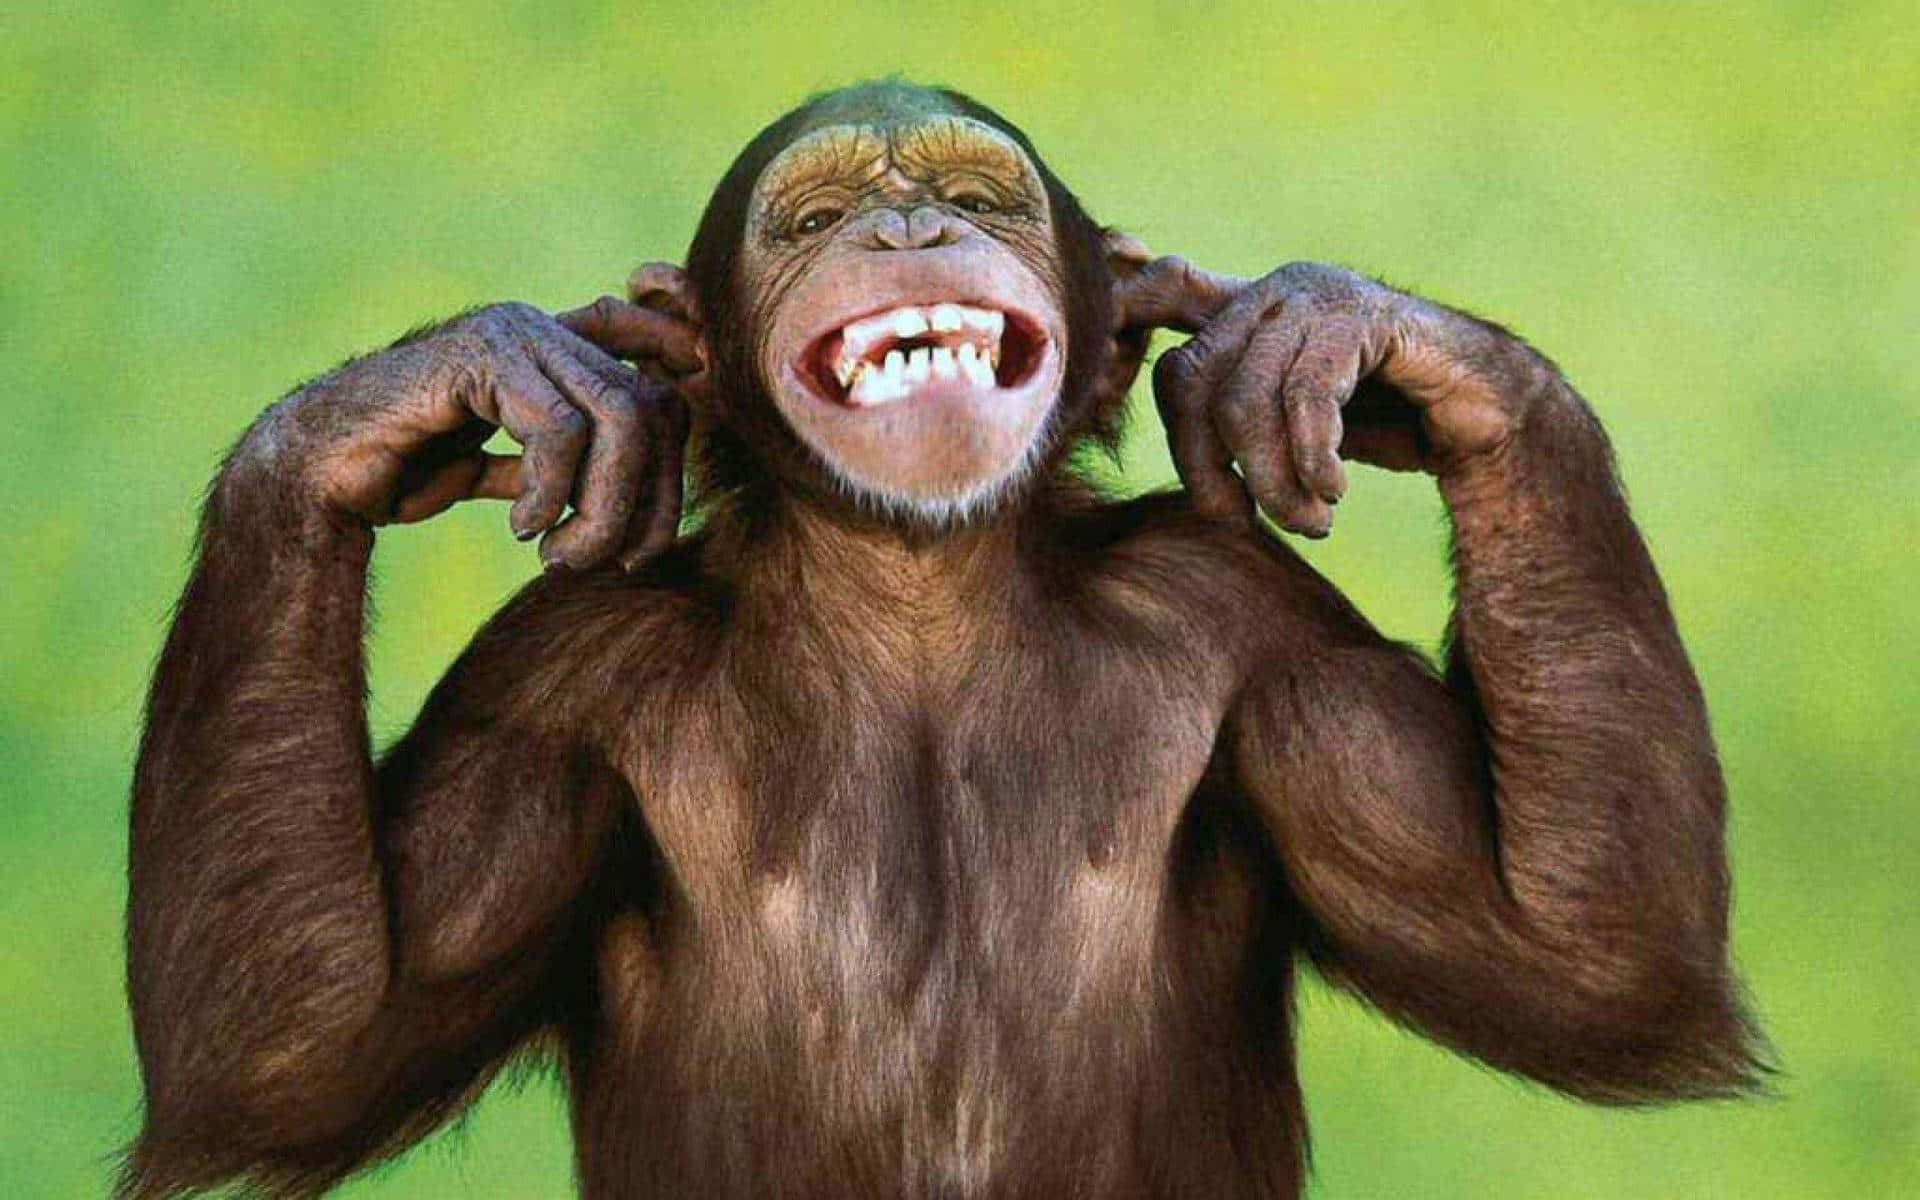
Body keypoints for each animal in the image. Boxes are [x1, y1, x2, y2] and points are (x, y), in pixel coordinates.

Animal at [122, 80, 1763, 1200]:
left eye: (981, 198)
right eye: (811, 218)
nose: (909, 224)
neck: (914, 598)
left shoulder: (1256, 630)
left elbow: (1573, 958)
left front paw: (1337, 331)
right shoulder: (552, 689)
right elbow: (298, 1043)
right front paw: (440, 389)